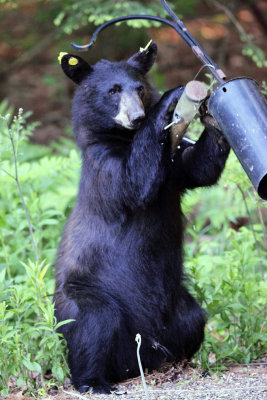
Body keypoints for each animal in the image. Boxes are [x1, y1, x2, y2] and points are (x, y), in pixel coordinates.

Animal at [54, 43, 230, 394]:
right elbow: (135, 182)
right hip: (85, 295)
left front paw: (213, 113)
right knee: (95, 323)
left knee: (193, 319)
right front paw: (169, 100)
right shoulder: (104, 169)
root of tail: (135, 359)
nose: (136, 117)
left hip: (176, 307)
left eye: (139, 88)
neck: (122, 139)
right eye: (112, 90)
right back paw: (94, 382)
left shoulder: (174, 169)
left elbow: (199, 167)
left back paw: (178, 362)